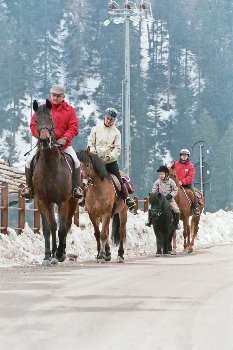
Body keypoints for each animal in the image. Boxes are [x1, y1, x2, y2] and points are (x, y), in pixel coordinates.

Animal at [32, 98, 77, 266]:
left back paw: (60, 252)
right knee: (52, 226)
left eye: (51, 119)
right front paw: (47, 256)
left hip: (72, 202)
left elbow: (62, 228)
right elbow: (47, 228)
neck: (50, 166)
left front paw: (59, 254)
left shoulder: (63, 201)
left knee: (66, 224)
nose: (45, 140)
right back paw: (52, 254)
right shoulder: (42, 200)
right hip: (50, 203)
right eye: (36, 120)